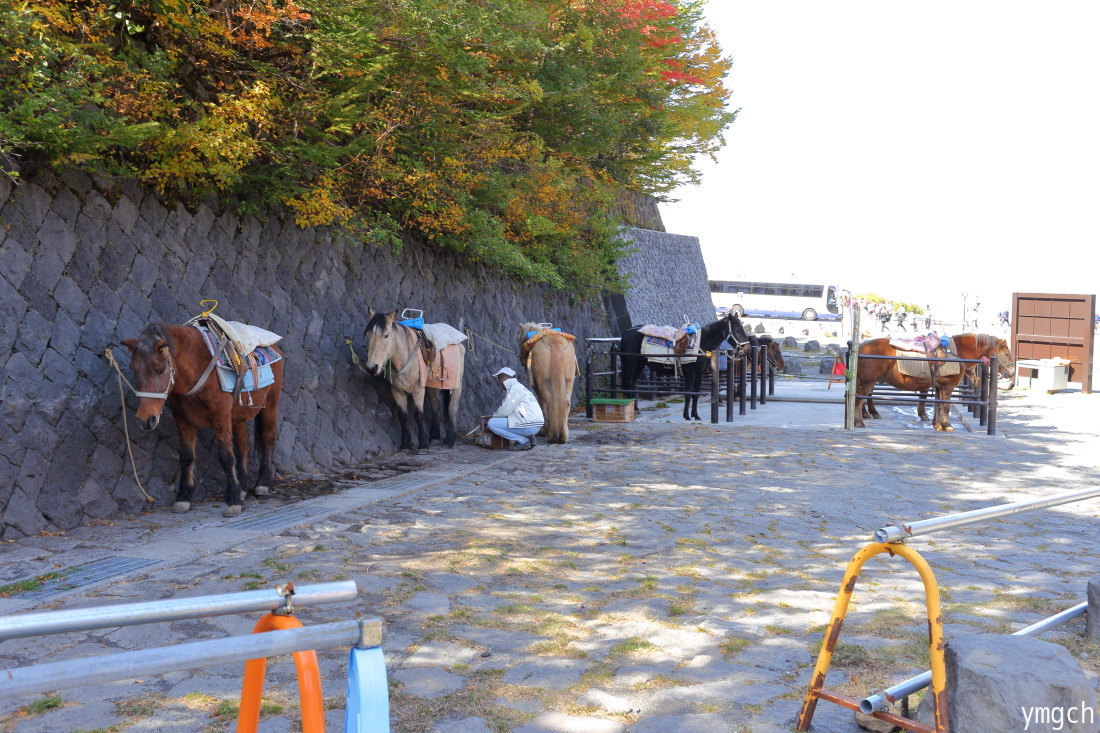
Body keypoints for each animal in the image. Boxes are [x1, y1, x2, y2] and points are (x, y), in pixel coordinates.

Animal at [122, 323, 283, 517]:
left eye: (160, 370)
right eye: (134, 370)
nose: (145, 420)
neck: (196, 367)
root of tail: (274, 346)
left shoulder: (221, 416)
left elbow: (226, 457)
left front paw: (234, 501)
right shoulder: (182, 419)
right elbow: (186, 456)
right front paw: (184, 498)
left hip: (270, 404)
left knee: (268, 438)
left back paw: (262, 484)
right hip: (238, 414)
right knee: (243, 443)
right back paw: (243, 488)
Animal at [616, 310, 752, 420]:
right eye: (737, 329)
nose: (747, 349)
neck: (701, 343)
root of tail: (627, 332)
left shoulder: (699, 375)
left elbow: (696, 395)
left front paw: (695, 415)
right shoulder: (690, 374)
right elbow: (688, 393)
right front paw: (686, 416)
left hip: (639, 364)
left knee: (632, 383)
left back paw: (635, 408)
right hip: (630, 362)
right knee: (628, 382)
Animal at [858, 330, 1012, 429]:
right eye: (1006, 353)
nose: (1011, 372)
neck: (956, 353)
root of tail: (861, 346)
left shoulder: (939, 386)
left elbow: (938, 405)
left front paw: (937, 425)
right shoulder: (948, 386)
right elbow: (945, 406)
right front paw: (948, 426)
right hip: (868, 382)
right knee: (859, 398)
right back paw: (859, 422)